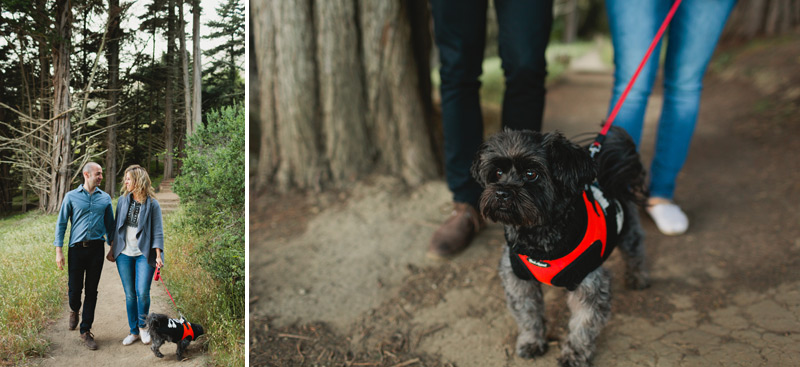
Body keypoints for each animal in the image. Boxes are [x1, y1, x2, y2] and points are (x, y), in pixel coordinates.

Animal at [468, 127, 648, 367]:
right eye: (497, 173)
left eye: (531, 174)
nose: (501, 193)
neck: (539, 240)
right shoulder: (517, 278)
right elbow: (527, 314)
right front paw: (531, 341)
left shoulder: (590, 284)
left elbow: (583, 325)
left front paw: (574, 354)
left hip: (628, 230)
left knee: (635, 250)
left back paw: (638, 277)